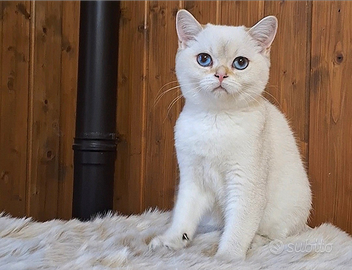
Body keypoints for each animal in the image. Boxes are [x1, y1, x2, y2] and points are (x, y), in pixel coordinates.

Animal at [148, 9, 310, 260]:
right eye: (204, 59)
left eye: (240, 63)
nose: (221, 75)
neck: (215, 120)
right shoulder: (192, 179)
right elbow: (183, 215)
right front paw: (172, 241)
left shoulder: (245, 183)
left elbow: (238, 228)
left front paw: (226, 258)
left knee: (277, 236)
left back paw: (255, 242)